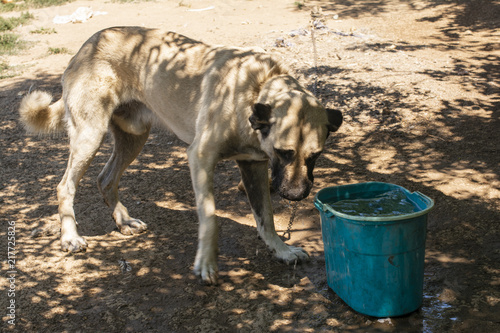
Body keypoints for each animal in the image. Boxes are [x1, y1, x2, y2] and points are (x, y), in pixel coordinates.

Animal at [18, 26, 340, 282]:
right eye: (284, 152)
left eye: (315, 155)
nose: (296, 196)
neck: (255, 88)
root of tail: (88, 44)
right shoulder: (200, 158)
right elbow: (210, 218)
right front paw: (206, 263)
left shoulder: (254, 166)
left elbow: (266, 218)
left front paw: (281, 250)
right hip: (90, 136)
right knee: (65, 186)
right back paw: (70, 237)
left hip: (133, 137)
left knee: (105, 179)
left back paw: (123, 222)